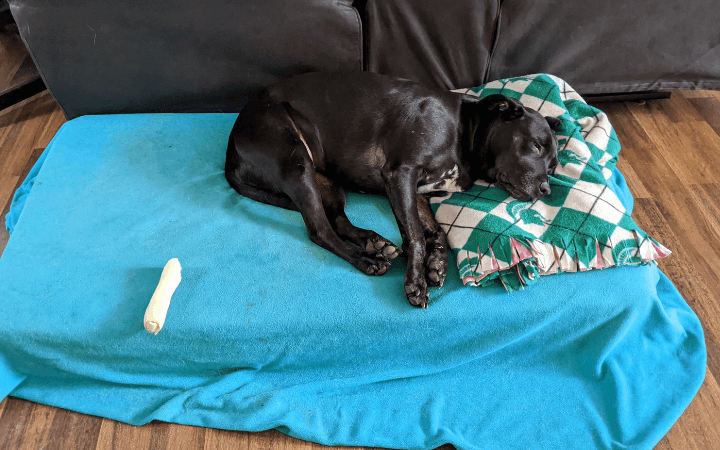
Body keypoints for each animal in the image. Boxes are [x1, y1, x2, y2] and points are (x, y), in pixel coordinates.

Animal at [225, 72, 561, 308]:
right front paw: (415, 281)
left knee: (337, 220)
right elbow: (415, 236)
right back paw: (366, 260)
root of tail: (231, 149)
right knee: (319, 230)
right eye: (535, 146)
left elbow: (435, 232)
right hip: (297, 163)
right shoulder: (401, 175)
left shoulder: (420, 193)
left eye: (554, 166)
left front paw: (437, 264)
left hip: (329, 182)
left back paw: (374, 243)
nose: (545, 189)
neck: (463, 130)